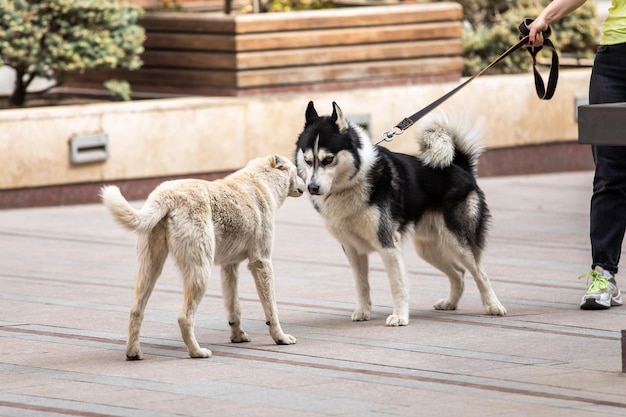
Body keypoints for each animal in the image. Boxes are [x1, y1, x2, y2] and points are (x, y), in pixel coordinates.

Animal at [100, 154, 304, 360]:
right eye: (296, 171)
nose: (307, 185)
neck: (260, 181)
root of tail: (166, 196)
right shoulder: (261, 262)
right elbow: (271, 309)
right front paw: (281, 338)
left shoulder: (229, 267)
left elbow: (234, 307)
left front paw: (237, 336)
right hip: (201, 272)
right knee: (184, 318)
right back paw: (197, 352)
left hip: (150, 268)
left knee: (136, 311)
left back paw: (133, 353)